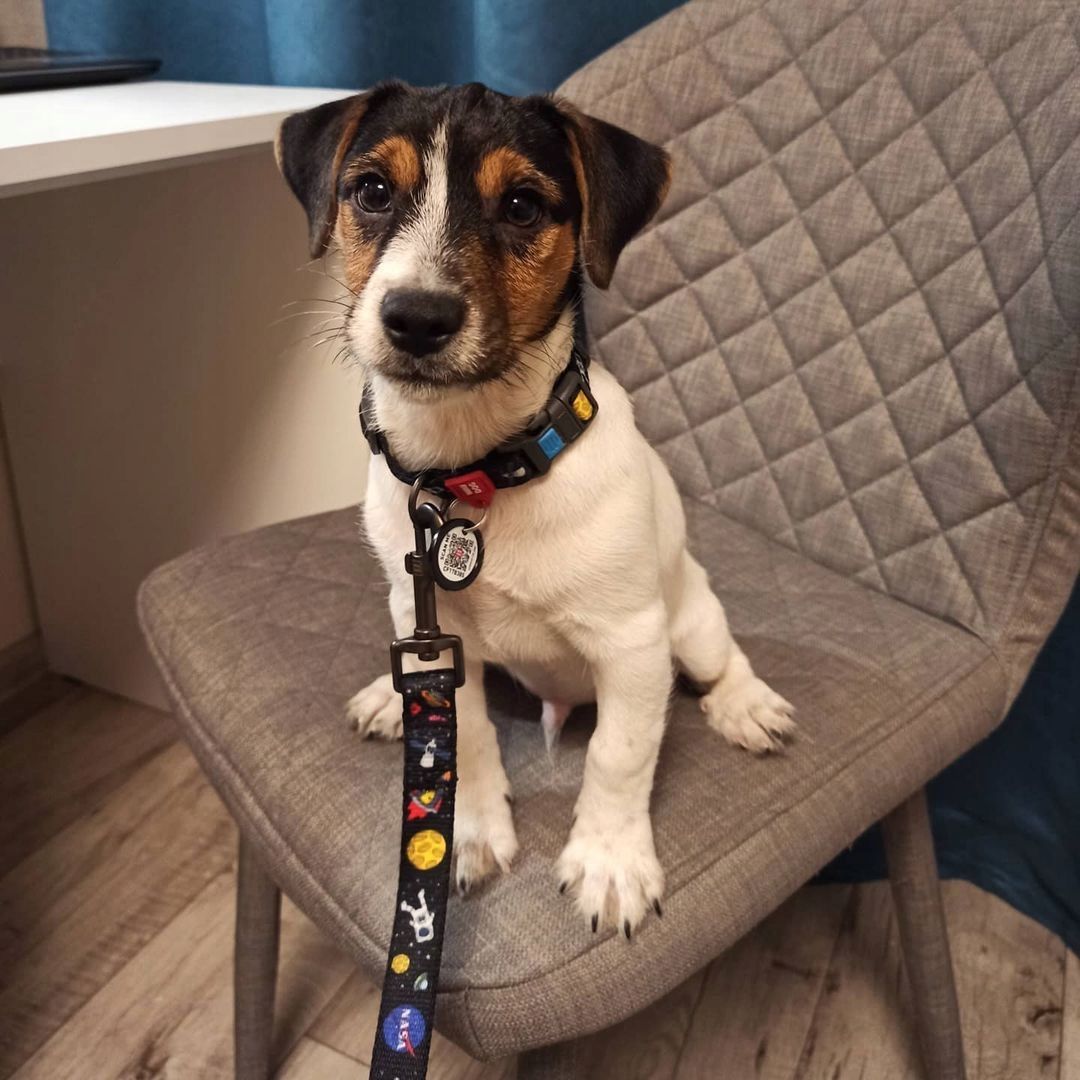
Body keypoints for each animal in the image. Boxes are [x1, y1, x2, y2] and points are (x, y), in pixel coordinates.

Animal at [277, 81, 795, 936]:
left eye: (522, 205)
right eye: (373, 191)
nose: (417, 318)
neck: (475, 474)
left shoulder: (633, 643)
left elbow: (619, 755)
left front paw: (611, 863)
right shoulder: (434, 627)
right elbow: (469, 735)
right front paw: (470, 830)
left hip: (689, 623)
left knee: (721, 661)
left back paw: (746, 704)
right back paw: (390, 697)